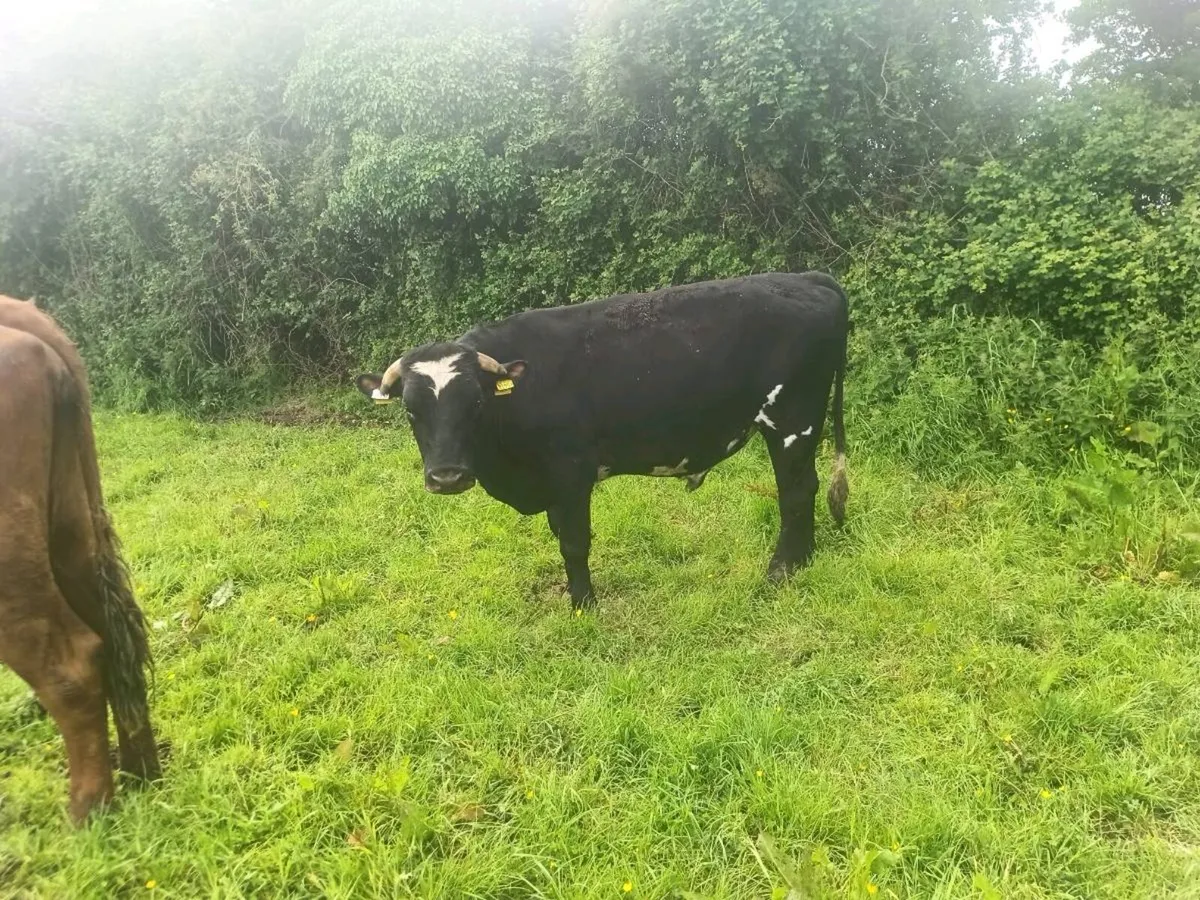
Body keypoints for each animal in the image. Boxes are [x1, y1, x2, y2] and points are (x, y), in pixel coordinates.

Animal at [356, 272, 849, 609]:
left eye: (475, 404)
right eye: (410, 411)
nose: (447, 477)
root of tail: (803, 277)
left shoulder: (571, 472)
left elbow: (574, 541)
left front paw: (583, 605)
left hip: (792, 421)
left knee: (796, 492)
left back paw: (782, 569)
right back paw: (804, 559)